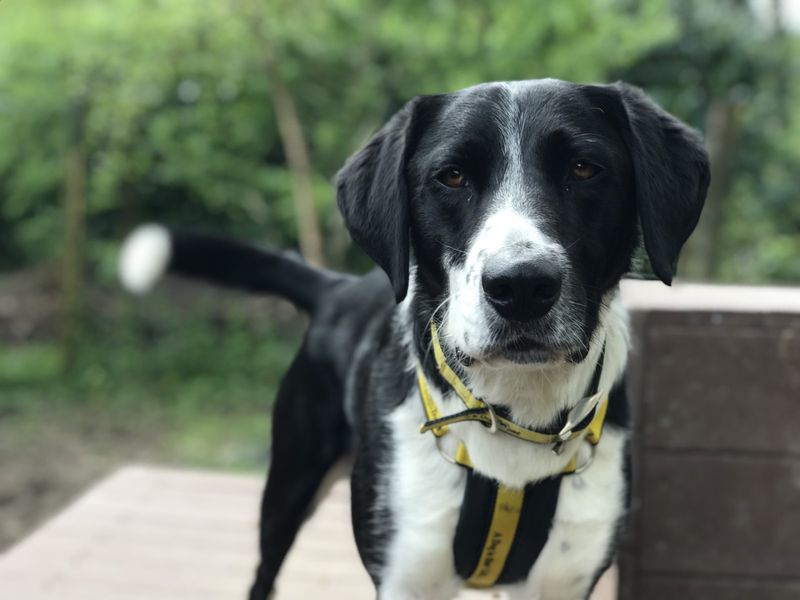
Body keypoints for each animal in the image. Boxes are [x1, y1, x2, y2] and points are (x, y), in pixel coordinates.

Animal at [119, 81, 708, 600]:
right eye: (452, 177)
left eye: (584, 169)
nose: (520, 286)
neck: (516, 415)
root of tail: (338, 287)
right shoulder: (405, 573)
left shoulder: (563, 581)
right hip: (289, 485)